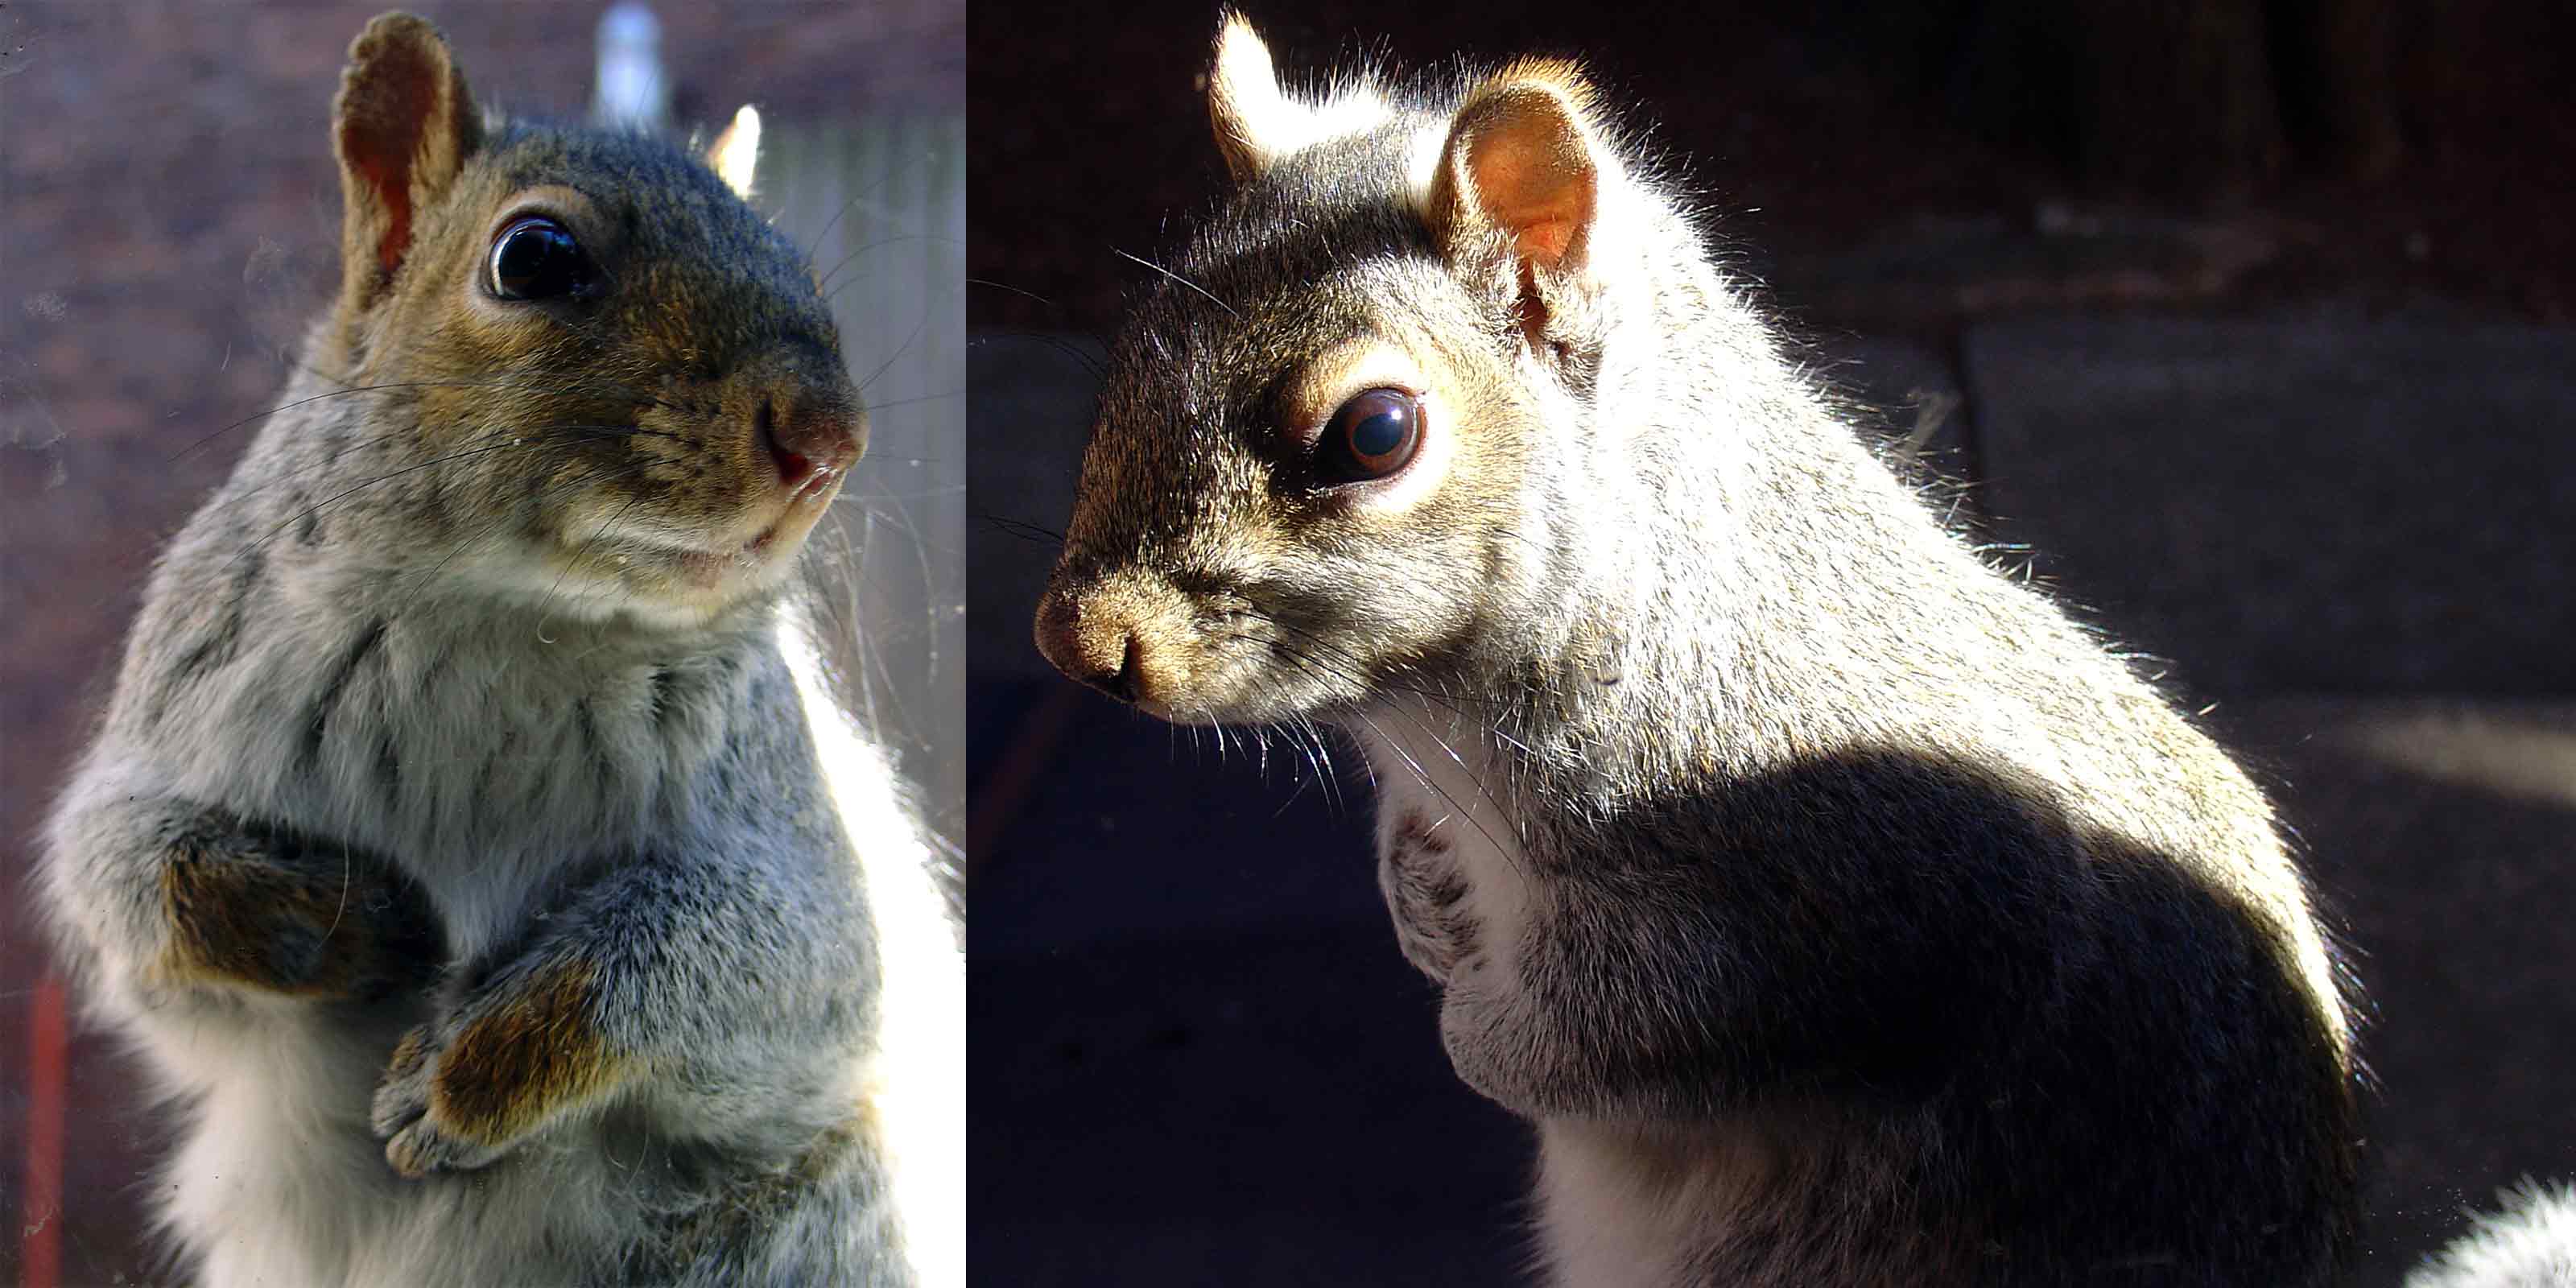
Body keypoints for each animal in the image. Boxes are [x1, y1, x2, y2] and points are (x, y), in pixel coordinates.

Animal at [37, 13, 948, 1286]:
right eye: (534, 258)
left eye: (804, 267)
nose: (830, 438)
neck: (508, 614)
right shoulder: (178, 725)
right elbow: (127, 882)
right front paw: (352, 923)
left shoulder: (803, 854)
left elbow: (763, 960)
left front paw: (464, 1079)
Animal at [1034, 14, 2360, 1286]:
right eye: (1133, 343)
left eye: (1377, 431)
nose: (1076, 641)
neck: (1427, 729)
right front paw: (1413, 900)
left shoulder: (1867, 884)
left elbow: (1643, 1032)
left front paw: (1478, 1032)